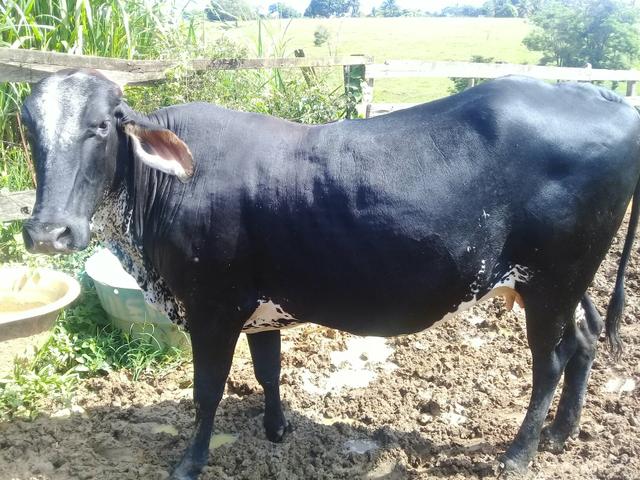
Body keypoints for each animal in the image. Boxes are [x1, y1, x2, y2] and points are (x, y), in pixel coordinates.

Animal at [20, 69, 639, 479]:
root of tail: (601, 95)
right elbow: (268, 372)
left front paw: (190, 463)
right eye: (29, 126)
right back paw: (561, 433)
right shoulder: (259, 309)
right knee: (582, 341)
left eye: (102, 126)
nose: (49, 232)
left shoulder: (212, 307)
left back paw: (518, 453)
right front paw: (276, 430)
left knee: (549, 362)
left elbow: (207, 390)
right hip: (565, 284)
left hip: (552, 283)